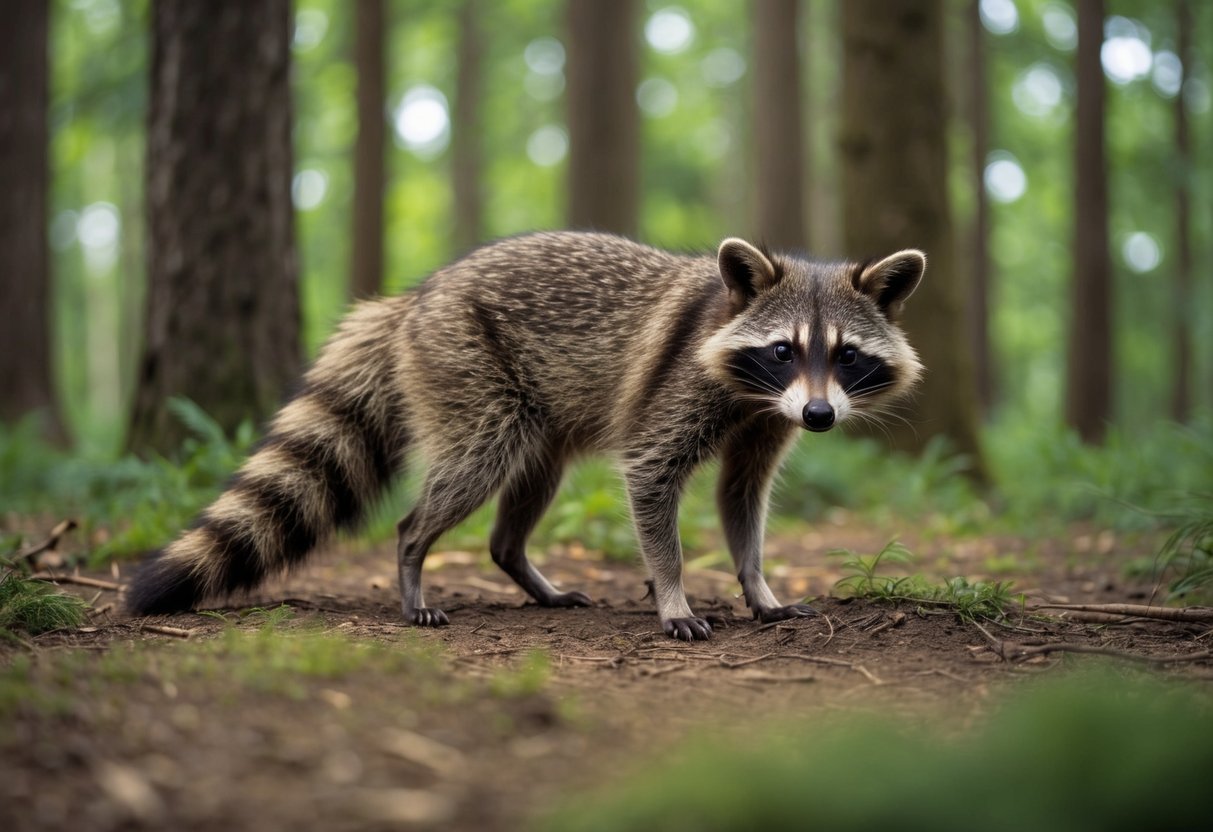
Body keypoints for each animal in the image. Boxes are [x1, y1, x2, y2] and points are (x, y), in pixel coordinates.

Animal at [127, 232, 924, 641]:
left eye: (846, 355)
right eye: (784, 349)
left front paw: (757, 584)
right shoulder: (683, 389)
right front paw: (672, 593)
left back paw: (520, 565)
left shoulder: (762, 418)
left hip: (537, 415)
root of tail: (413, 299)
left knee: (524, 497)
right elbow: (651, 476)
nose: (819, 418)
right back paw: (412, 558)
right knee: (465, 473)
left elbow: (743, 496)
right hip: (468, 370)